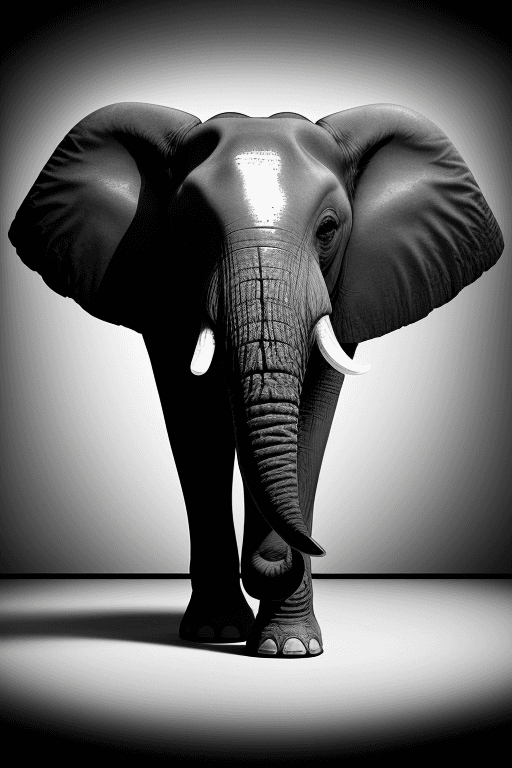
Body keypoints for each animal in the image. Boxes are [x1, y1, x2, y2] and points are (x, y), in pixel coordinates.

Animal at [9, 102, 503, 657]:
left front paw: (290, 650)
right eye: (192, 231)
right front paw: (218, 633)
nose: (306, 547)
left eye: (328, 229)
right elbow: (196, 426)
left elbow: (310, 424)